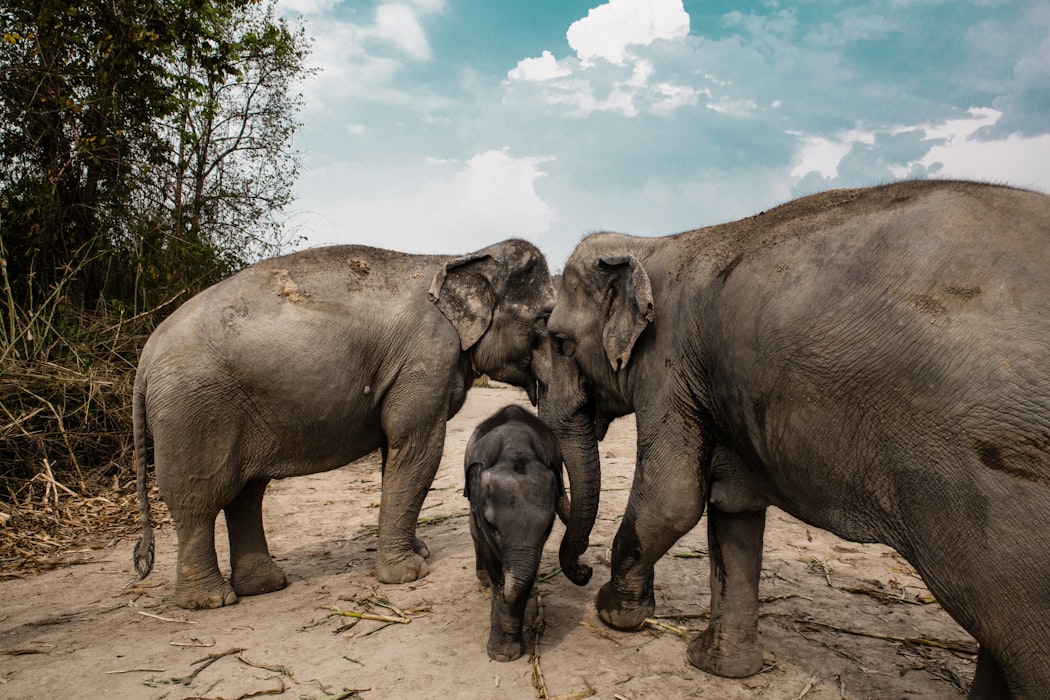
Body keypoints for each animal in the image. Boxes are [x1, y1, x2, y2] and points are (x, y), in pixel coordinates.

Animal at [133, 238, 558, 608]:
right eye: (543, 320)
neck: (458, 256)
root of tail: (144, 358)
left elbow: (397, 454)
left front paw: (418, 553)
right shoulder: (426, 356)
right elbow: (417, 448)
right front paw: (408, 574)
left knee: (246, 494)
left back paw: (264, 586)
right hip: (195, 411)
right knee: (198, 501)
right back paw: (210, 601)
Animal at [466, 405, 571, 663]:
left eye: (548, 525)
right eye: (492, 525)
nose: (504, 582)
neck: (515, 449)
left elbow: (528, 572)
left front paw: (506, 654)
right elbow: (484, 543)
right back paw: (484, 579)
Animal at [541, 182, 1050, 700]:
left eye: (559, 342)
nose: (582, 572)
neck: (650, 242)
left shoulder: (669, 364)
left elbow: (672, 501)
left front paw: (615, 612)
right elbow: (733, 511)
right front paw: (720, 667)